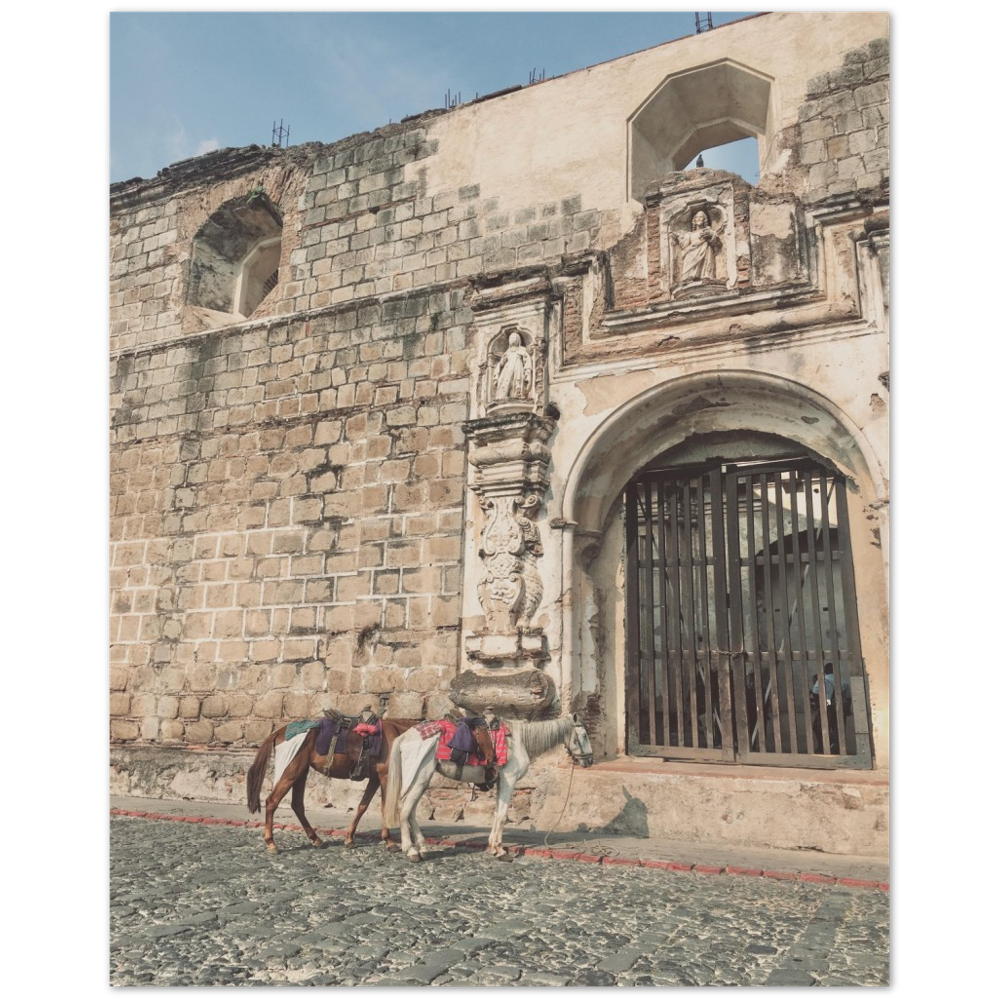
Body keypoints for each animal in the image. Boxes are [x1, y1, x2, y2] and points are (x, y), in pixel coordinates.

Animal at [250, 712, 426, 852]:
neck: (397, 735)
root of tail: (279, 732)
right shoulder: (385, 776)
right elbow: (384, 807)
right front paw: (389, 841)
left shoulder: (375, 779)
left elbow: (362, 806)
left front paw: (349, 838)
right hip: (291, 772)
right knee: (272, 801)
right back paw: (271, 842)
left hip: (301, 772)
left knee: (297, 805)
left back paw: (316, 839)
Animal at [378, 716, 588, 864]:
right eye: (584, 735)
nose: (590, 760)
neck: (520, 740)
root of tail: (405, 736)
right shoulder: (509, 780)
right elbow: (503, 816)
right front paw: (501, 851)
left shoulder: (501, 782)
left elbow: (497, 814)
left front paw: (493, 847)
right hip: (418, 777)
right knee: (404, 810)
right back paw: (411, 851)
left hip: (422, 779)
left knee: (411, 812)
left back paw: (422, 848)